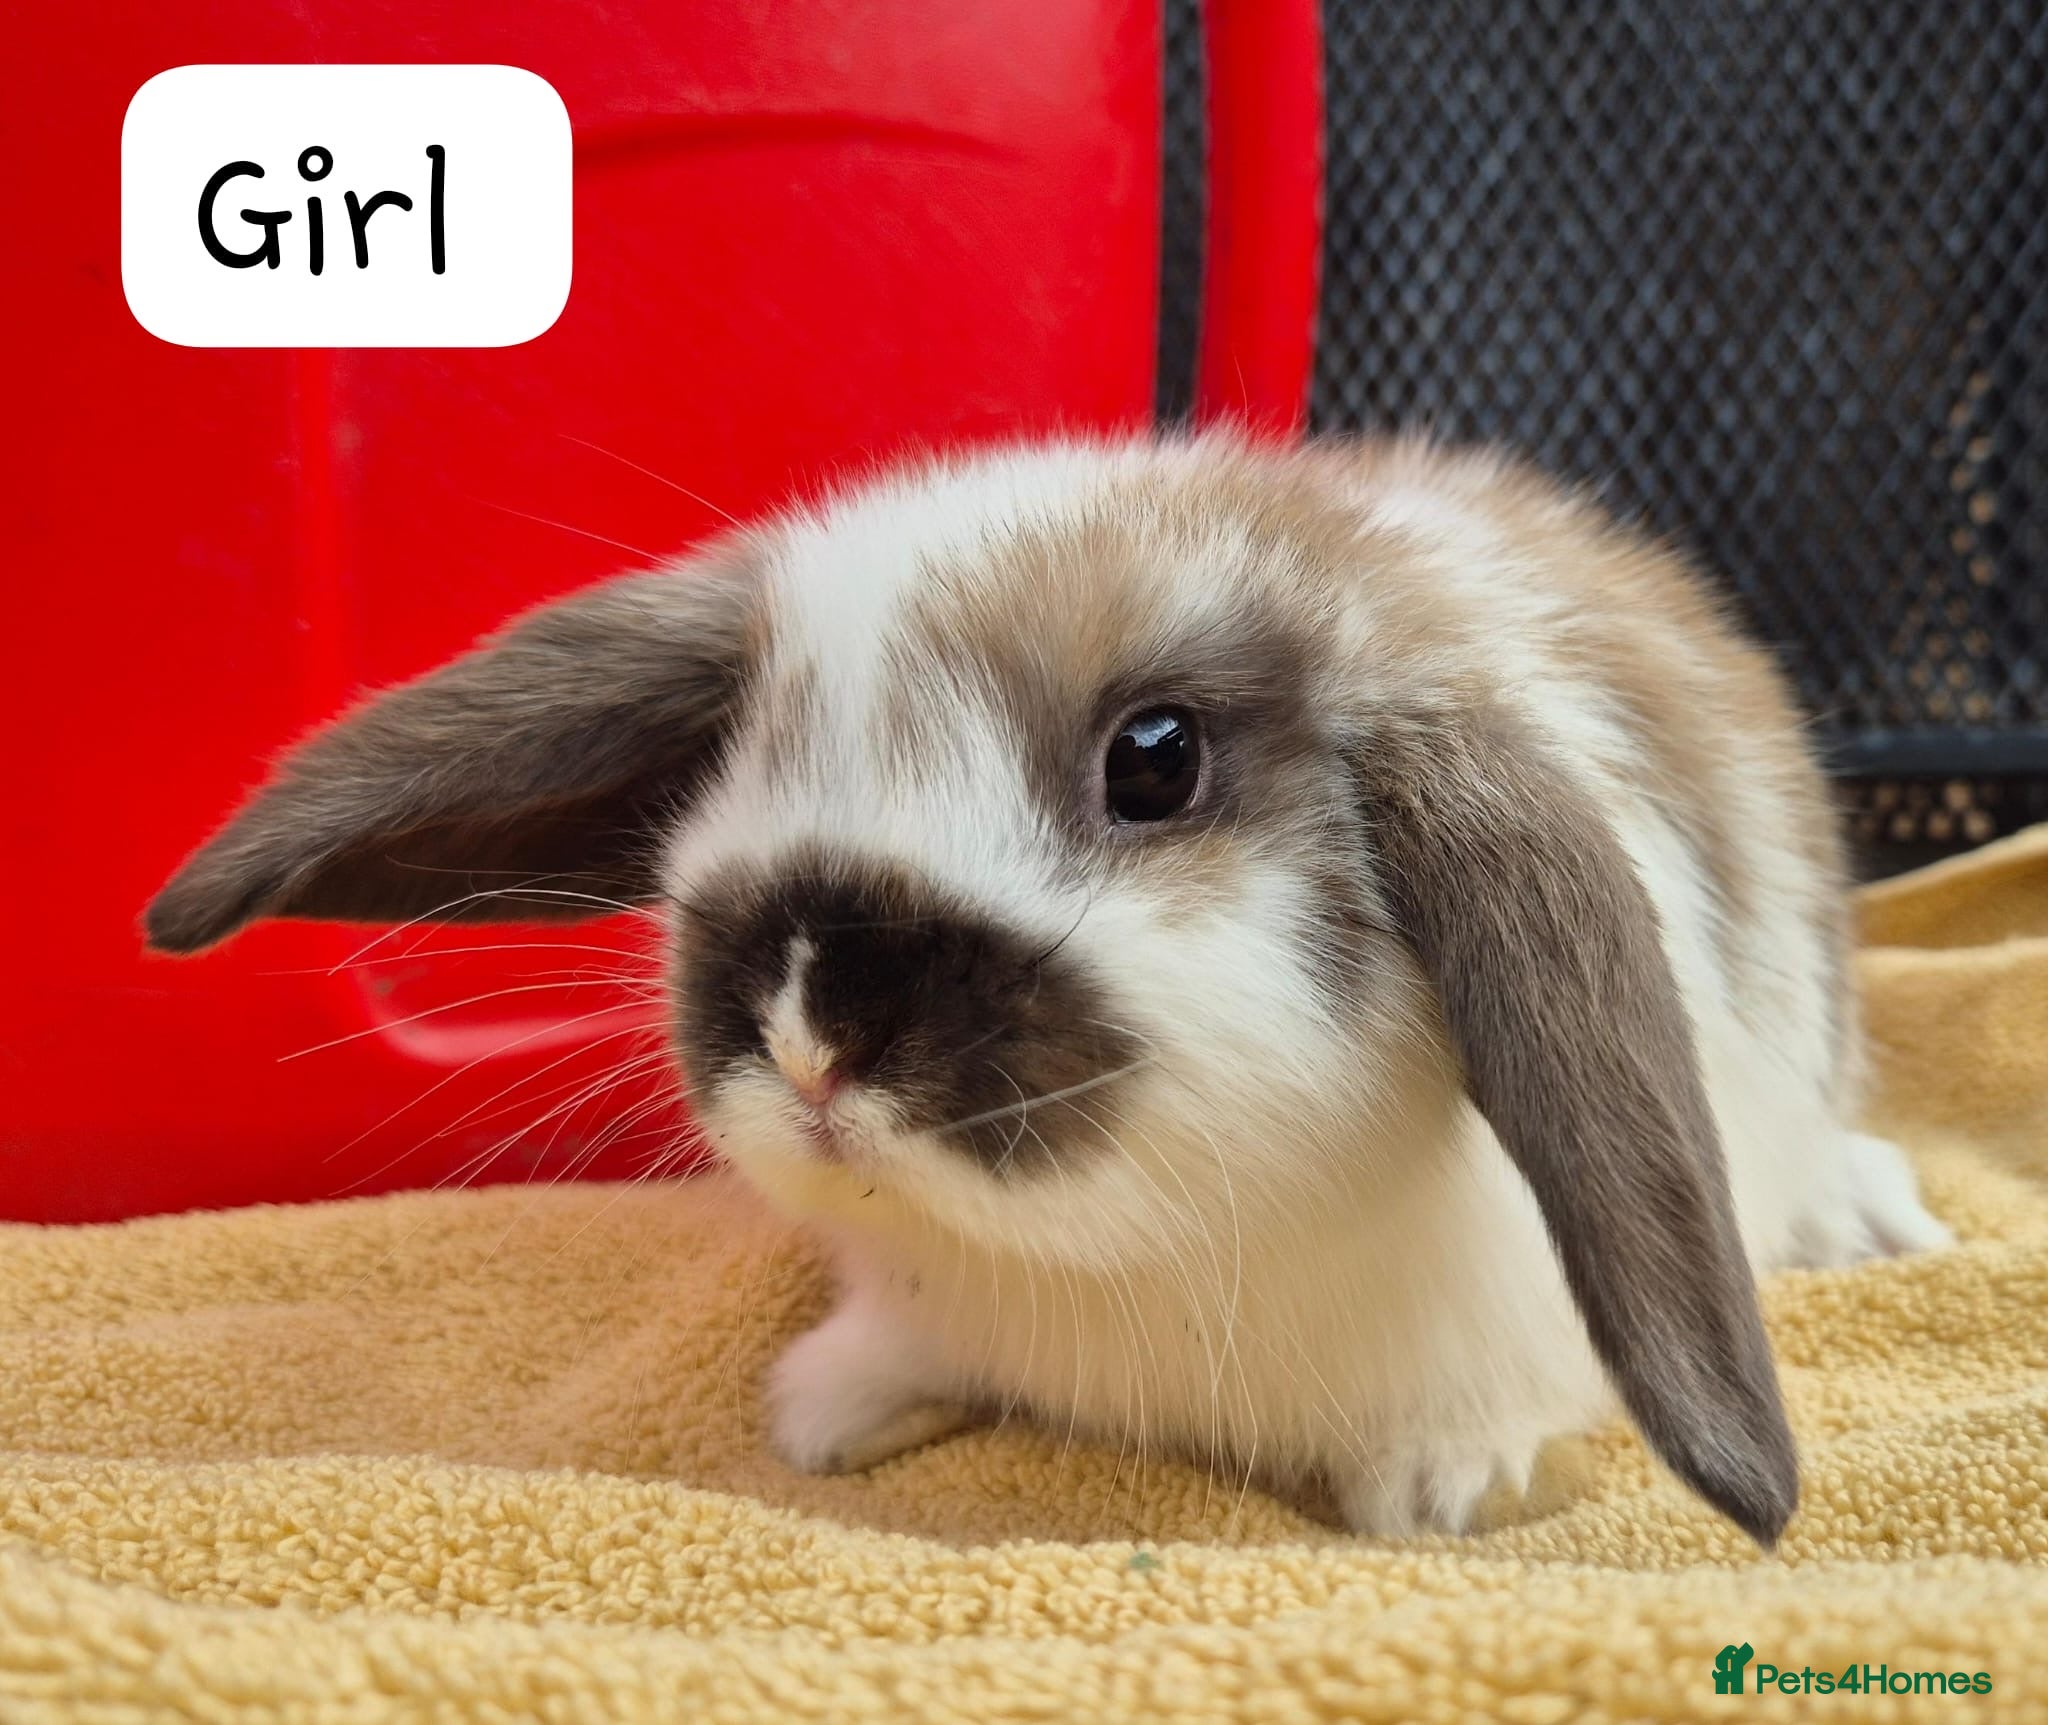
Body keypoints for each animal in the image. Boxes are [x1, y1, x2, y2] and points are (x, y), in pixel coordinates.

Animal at [146, 433, 1952, 1545]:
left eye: (1155, 758)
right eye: (742, 746)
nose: (810, 1026)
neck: (1115, 1269)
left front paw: (1449, 1486)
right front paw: (826, 1413)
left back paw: (1866, 1216)